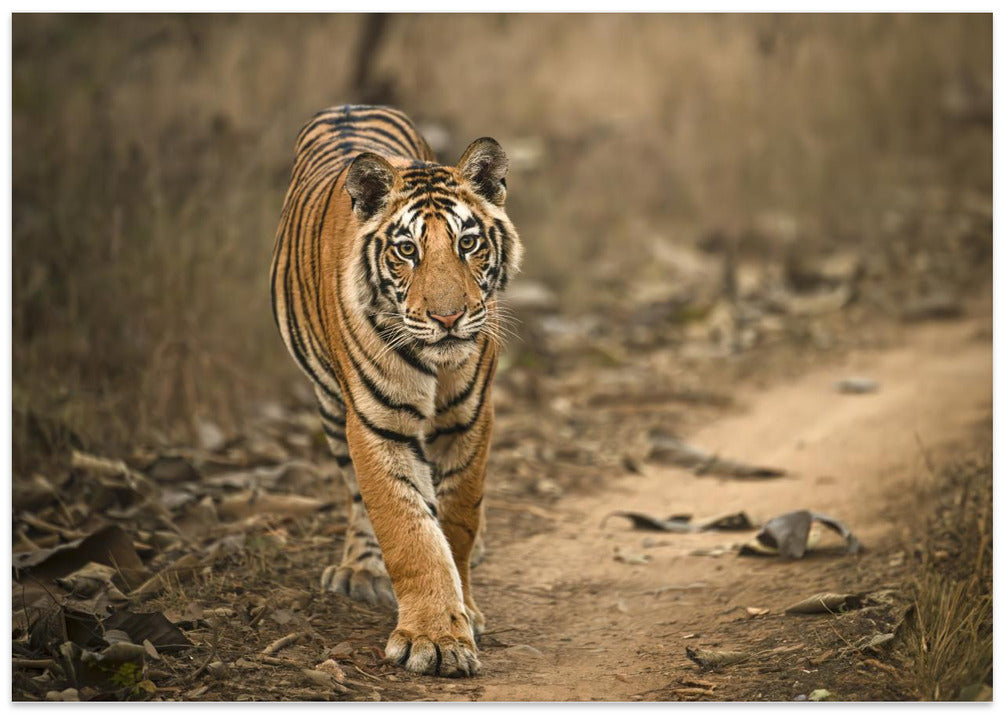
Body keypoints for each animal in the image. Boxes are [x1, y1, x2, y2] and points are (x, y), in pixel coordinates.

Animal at [269, 104, 522, 677]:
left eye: (467, 243)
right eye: (407, 250)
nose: (448, 318)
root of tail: (349, 106)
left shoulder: (470, 419)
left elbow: (456, 519)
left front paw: (464, 615)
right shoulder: (376, 424)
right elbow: (409, 531)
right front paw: (434, 638)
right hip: (329, 405)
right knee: (355, 494)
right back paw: (361, 572)